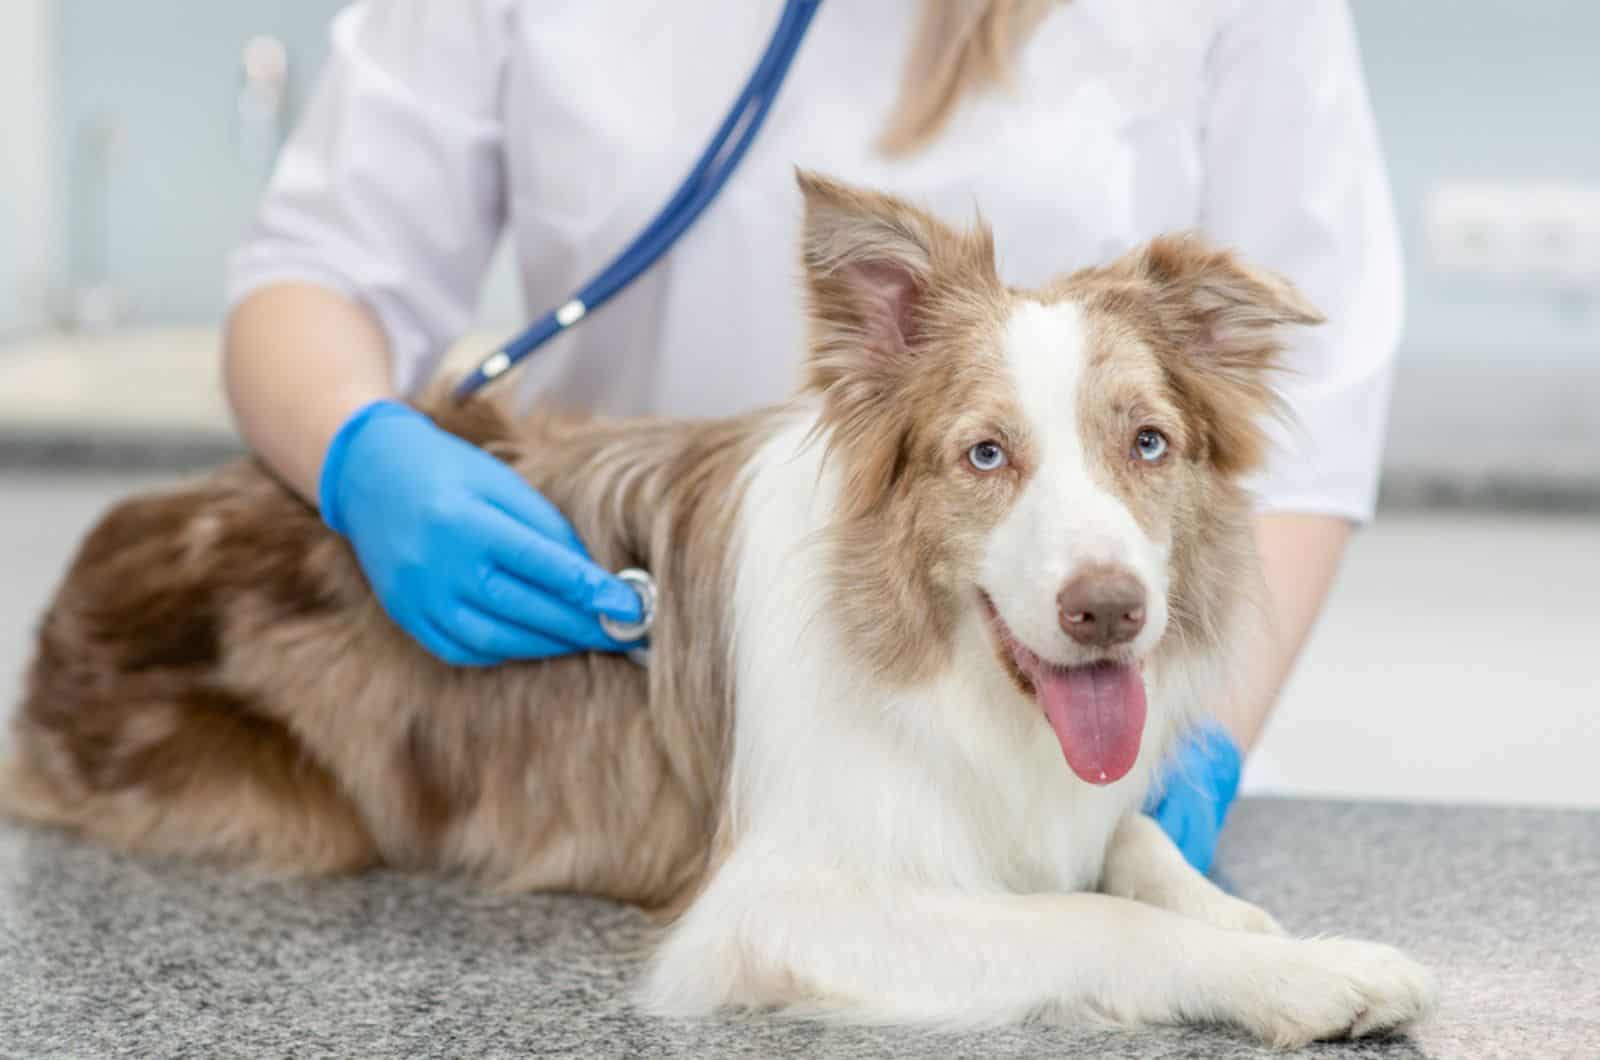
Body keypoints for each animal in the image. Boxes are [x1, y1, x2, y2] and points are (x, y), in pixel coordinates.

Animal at [0, 174, 1433, 1043]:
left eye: (1146, 442)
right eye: (984, 455)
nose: (1108, 613)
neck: (954, 679)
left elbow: (1136, 848)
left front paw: (1267, 928)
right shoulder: (772, 906)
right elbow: (1090, 917)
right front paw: (1297, 972)